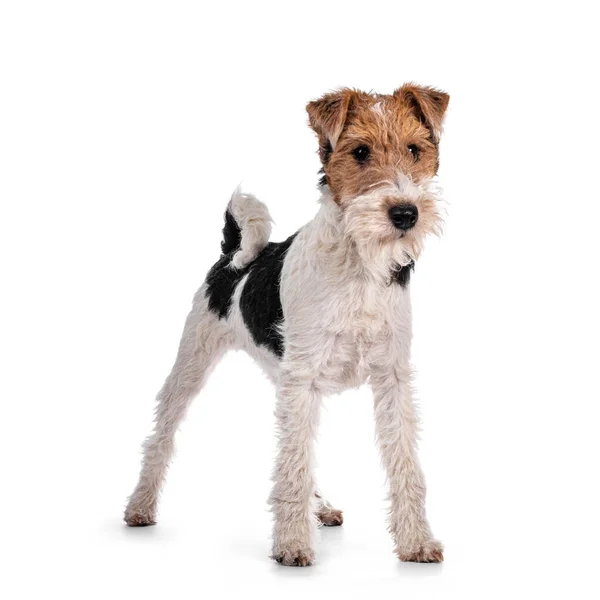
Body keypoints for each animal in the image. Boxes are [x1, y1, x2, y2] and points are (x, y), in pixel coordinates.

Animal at [123, 83, 450, 568]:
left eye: (415, 149)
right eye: (360, 151)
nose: (405, 214)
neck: (359, 266)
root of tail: (233, 256)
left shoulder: (391, 378)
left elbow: (403, 463)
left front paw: (417, 543)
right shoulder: (305, 379)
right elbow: (293, 464)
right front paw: (293, 545)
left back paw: (322, 508)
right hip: (193, 361)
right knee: (161, 436)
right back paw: (140, 507)